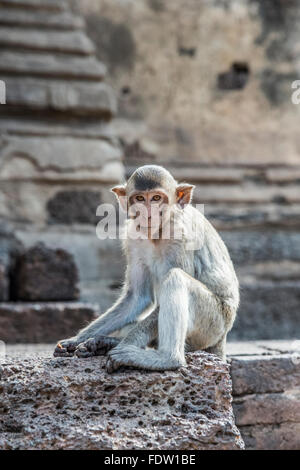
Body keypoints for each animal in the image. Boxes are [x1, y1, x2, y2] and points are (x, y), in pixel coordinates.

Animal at [53, 165, 239, 370]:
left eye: (157, 198)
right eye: (140, 198)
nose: (148, 212)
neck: (157, 233)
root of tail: (222, 338)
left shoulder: (180, 236)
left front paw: (124, 346)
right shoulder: (132, 238)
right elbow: (137, 297)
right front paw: (77, 340)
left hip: (213, 322)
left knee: (176, 278)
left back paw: (164, 358)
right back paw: (106, 342)